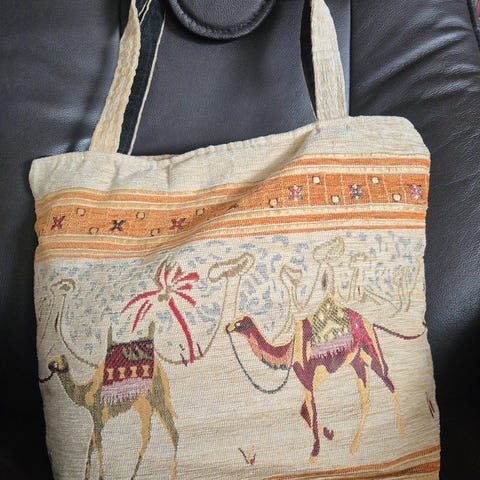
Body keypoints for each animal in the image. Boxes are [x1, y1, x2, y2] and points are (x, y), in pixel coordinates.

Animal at [46, 321, 178, 480]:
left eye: (57, 361)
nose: (50, 366)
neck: (85, 393)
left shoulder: (97, 414)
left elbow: (97, 444)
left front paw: (100, 476)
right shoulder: (100, 418)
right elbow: (92, 445)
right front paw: (87, 475)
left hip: (152, 398)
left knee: (162, 433)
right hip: (148, 402)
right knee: (158, 433)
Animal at [226, 293, 424, 462]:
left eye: (239, 322)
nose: (227, 327)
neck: (289, 350)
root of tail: (369, 322)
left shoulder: (306, 377)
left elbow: (312, 412)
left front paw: (315, 452)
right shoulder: (313, 379)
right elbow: (304, 410)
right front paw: (329, 433)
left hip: (371, 351)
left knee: (389, 383)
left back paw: (401, 432)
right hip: (356, 361)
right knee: (366, 399)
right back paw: (354, 446)